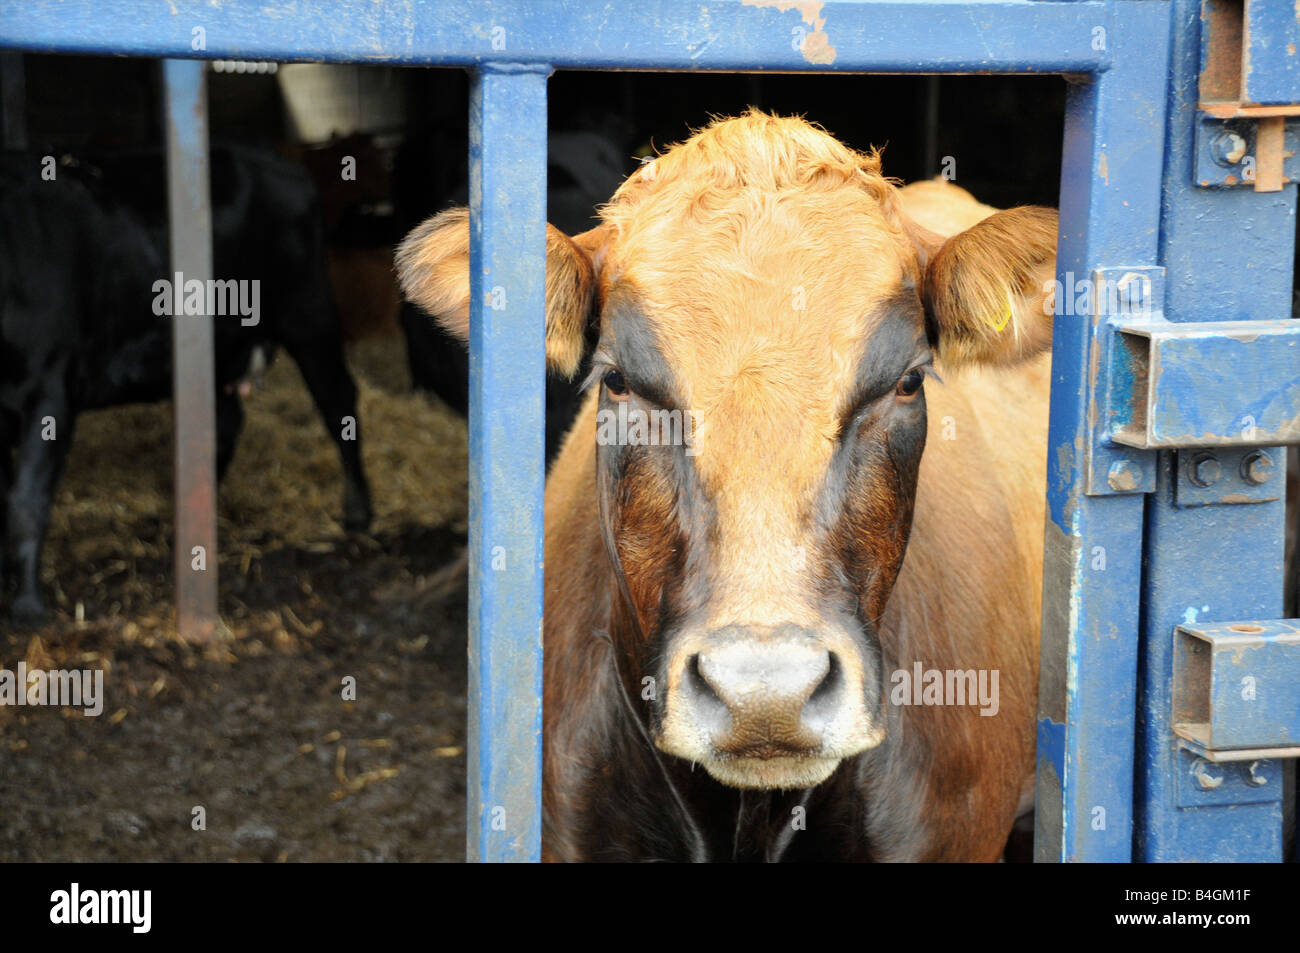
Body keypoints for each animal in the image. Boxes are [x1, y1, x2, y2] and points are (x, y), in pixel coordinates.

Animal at [2, 144, 374, 621]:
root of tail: (275, 160)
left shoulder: (52, 385)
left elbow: (27, 500)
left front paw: (28, 605)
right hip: (218, 347)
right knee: (226, 422)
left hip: (309, 313)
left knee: (338, 402)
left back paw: (358, 514)